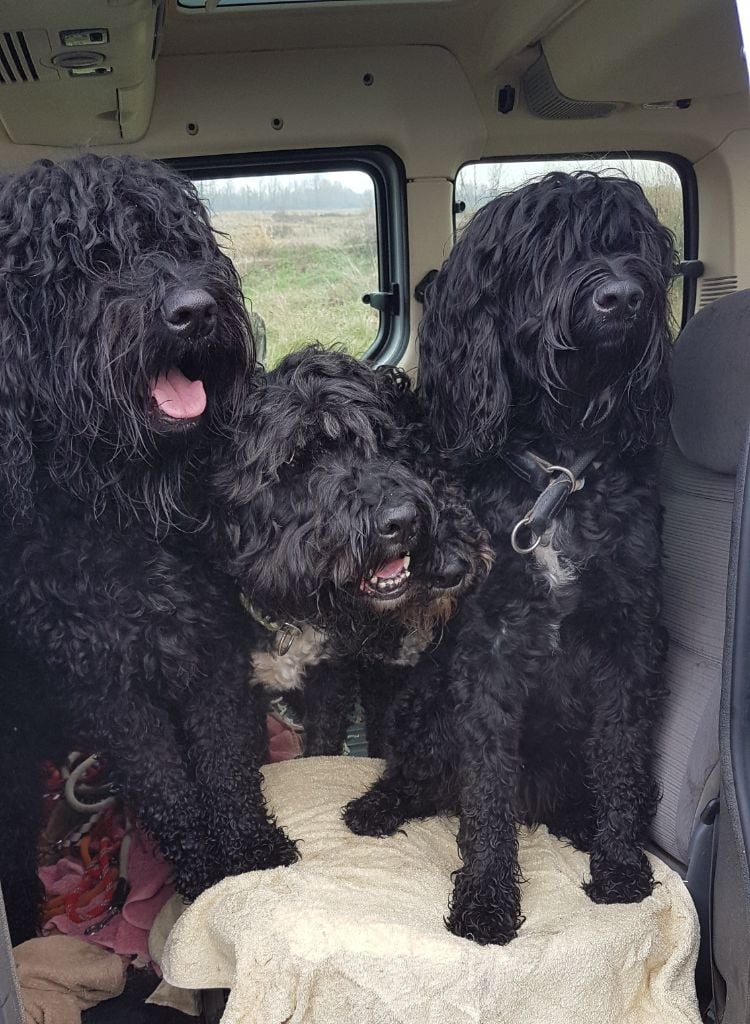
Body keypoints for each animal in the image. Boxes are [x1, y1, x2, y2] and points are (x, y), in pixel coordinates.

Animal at [0, 151, 299, 942]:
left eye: (178, 241)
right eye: (84, 263)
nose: (194, 310)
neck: (123, 502)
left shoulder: (211, 640)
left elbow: (224, 767)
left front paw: (248, 856)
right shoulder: (109, 684)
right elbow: (169, 788)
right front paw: (202, 875)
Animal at [344, 172, 672, 946]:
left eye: (630, 243)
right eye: (546, 252)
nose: (623, 296)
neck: (559, 469)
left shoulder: (628, 635)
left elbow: (620, 755)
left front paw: (621, 865)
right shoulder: (487, 645)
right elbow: (484, 786)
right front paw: (487, 896)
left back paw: (583, 823)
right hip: (425, 703)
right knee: (428, 777)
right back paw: (379, 805)